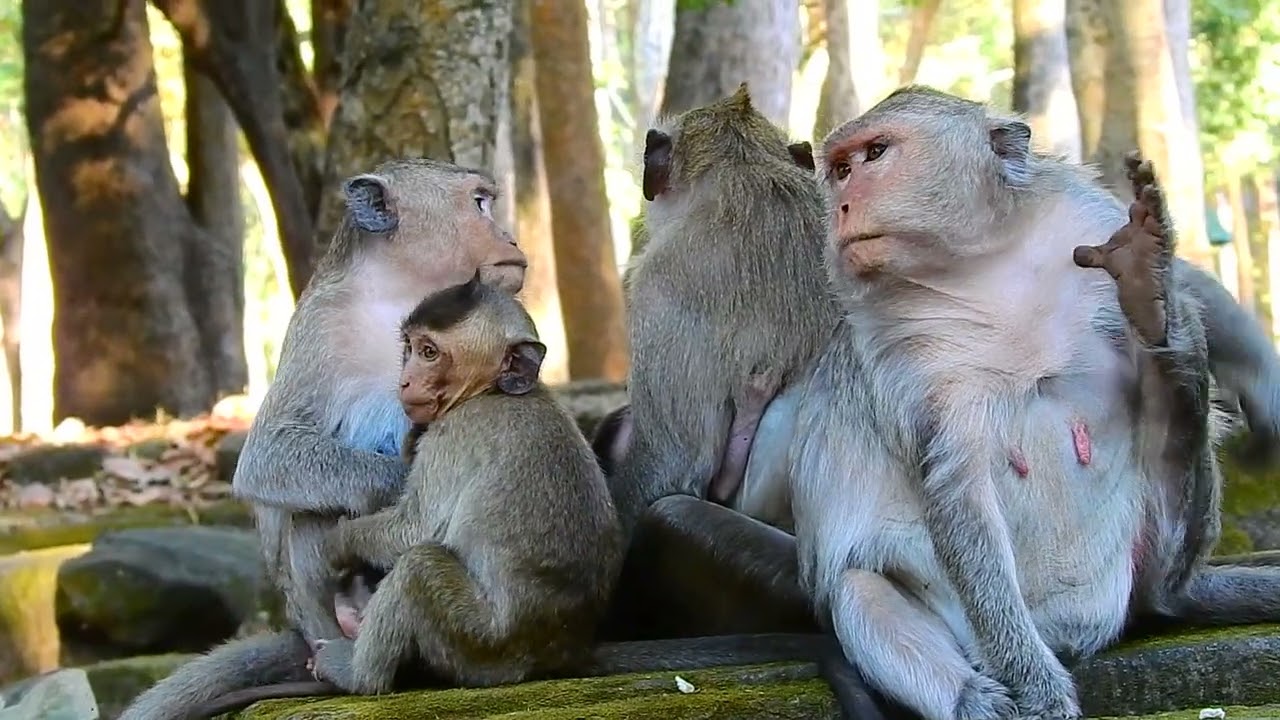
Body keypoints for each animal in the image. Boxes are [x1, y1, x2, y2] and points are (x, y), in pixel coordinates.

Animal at [117, 159, 529, 720]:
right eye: (480, 203)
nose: (509, 234)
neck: (398, 293)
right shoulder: (321, 325)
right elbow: (268, 455)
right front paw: (399, 481)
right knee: (314, 508)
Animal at [781, 86, 1280, 720]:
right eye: (841, 170)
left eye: (874, 154)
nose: (843, 204)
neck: (982, 266)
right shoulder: (902, 350)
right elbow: (958, 488)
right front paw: (1038, 689)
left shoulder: (1085, 218)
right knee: (859, 589)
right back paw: (978, 700)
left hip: (1146, 560)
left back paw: (1157, 314)